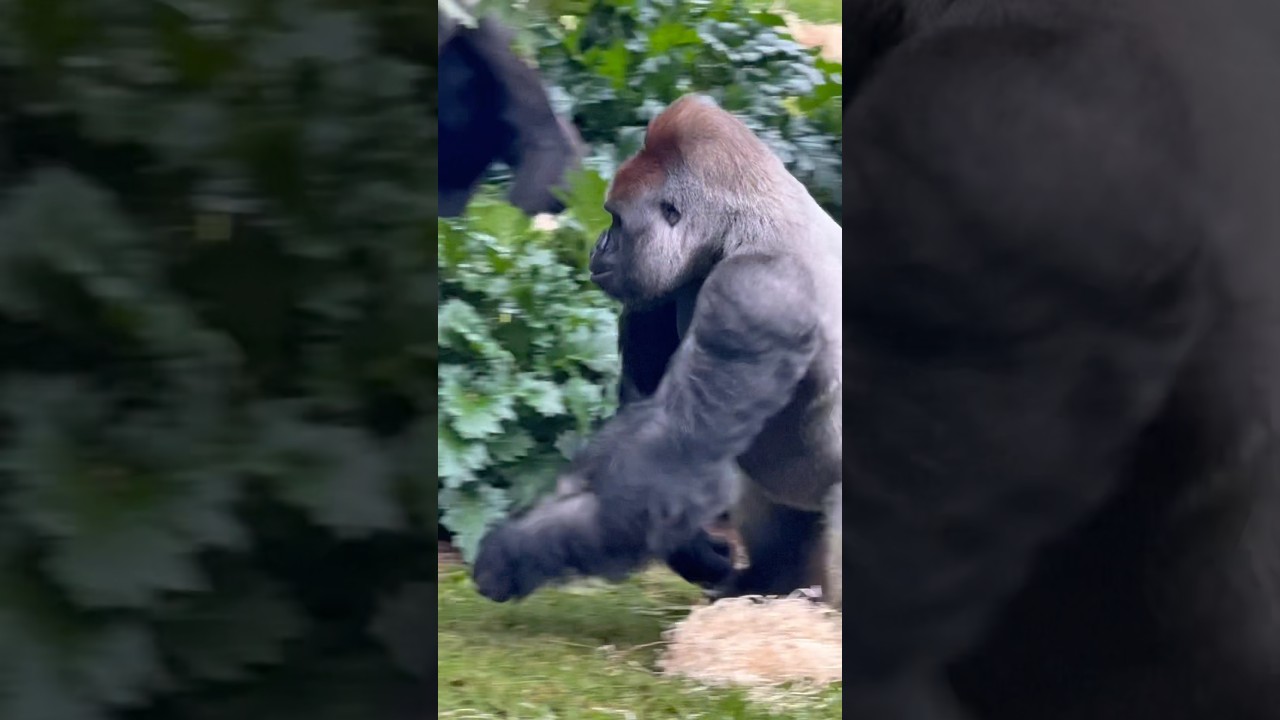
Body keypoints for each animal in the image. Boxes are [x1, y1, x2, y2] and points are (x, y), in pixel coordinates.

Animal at [470, 93, 844, 610]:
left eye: (616, 219)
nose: (598, 246)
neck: (747, 219)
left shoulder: (755, 293)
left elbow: (673, 459)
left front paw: (515, 551)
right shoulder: (669, 284)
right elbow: (654, 443)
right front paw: (693, 551)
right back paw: (768, 582)